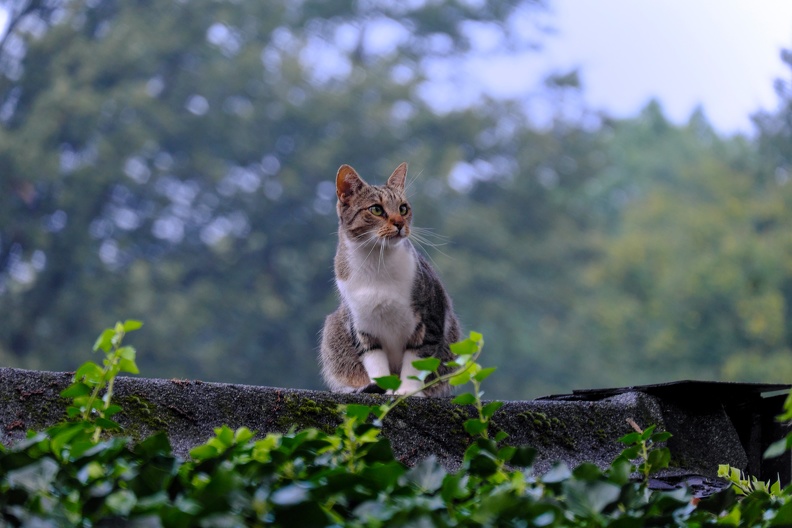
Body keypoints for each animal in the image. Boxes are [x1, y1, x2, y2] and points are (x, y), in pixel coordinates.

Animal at [318, 161, 460, 396]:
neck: (377, 261)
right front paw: (384, 390)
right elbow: (375, 361)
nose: (400, 223)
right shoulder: (361, 326)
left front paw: (407, 392)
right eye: (376, 209)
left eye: (403, 208)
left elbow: (416, 359)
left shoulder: (429, 319)